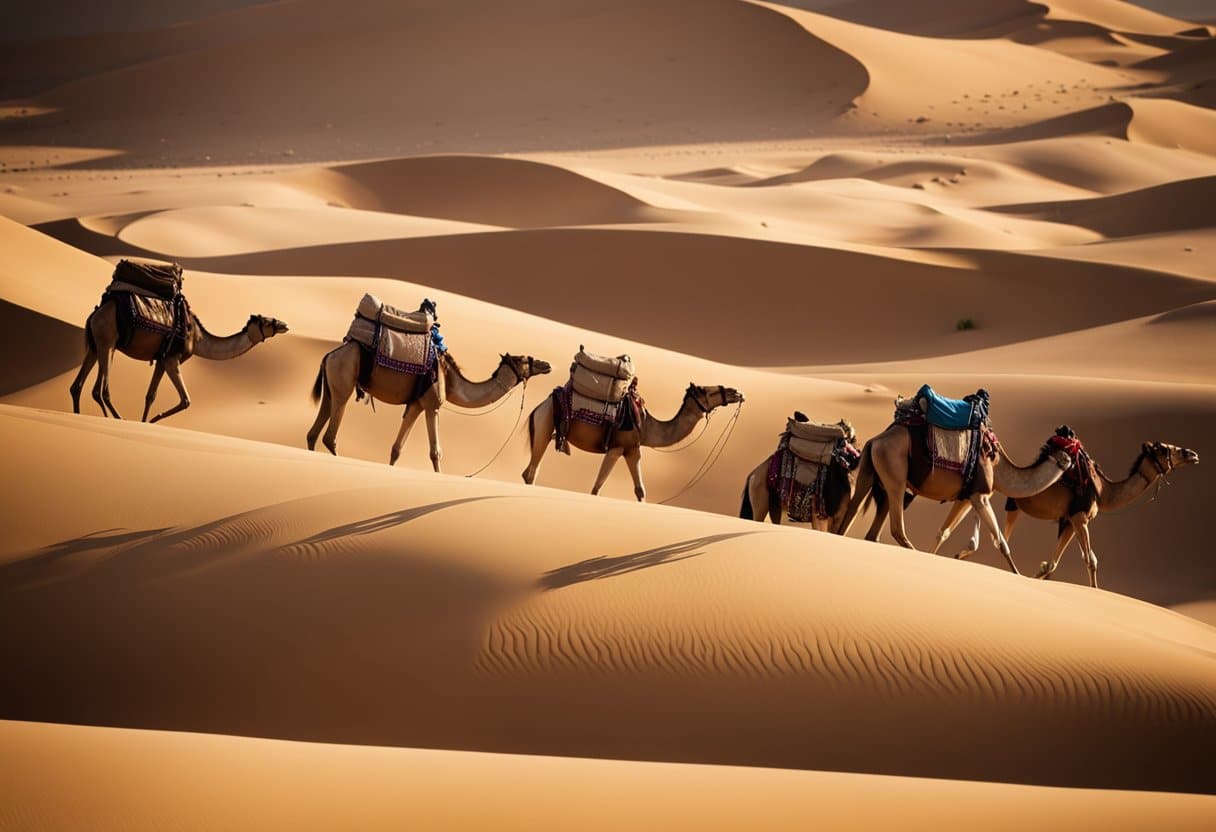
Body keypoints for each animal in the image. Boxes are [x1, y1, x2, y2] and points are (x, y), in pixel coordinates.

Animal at [69, 295, 288, 423]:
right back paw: (115, 418)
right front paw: (152, 420)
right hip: (108, 341)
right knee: (100, 390)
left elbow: (150, 395)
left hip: (96, 343)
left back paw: (79, 415)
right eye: (267, 321)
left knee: (77, 386)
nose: (284, 324)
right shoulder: (172, 358)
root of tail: (96, 312)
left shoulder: (161, 359)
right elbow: (185, 400)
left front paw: (145, 422)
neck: (197, 338)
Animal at [307, 341, 551, 470]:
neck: (451, 380)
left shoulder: (416, 405)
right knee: (330, 435)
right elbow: (436, 452)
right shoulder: (433, 405)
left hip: (331, 385)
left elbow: (397, 448)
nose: (546, 364)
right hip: (344, 381)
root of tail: (329, 355)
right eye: (525, 359)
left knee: (314, 431)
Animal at [521, 383, 744, 501]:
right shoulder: (617, 447)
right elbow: (596, 488)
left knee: (529, 471)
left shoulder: (632, 450)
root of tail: (538, 407)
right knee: (531, 471)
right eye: (707, 391)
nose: (736, 392)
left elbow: (640, 490)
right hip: (545, 423)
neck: (646, 425)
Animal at [837, 425, 1072, 574]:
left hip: (872, 471)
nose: (1070, 461)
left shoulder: (966, 498)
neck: (999, 467)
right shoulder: (980, 495)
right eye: (1070, 445)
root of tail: (875, 440)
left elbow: (944, 532)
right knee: (897, 528)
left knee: (854, 513)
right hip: (895, 475)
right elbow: (1001, 542)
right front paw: (1019, 575)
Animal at [1003, 441, 1199, 588]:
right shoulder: (1080, 517)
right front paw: (1094, 590)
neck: (1103, 492)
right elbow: (1090, 560)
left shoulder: (1070, 520)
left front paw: (1037, 577)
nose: (1192, 454)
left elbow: (1053, 564)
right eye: (1164, 449)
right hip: (1013, 504)